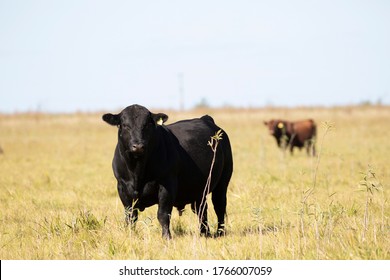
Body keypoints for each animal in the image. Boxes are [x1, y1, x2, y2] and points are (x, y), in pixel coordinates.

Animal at [102, 105, 233, 238]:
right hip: (199, 188)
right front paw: (131, 235)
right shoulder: (122, 187)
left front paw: (166, 237)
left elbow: (163, 214)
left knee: (219, 205)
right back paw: (204, 233)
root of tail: (205, 118)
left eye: (148, 124)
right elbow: (130, 216)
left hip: (223, 181)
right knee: (201, 209)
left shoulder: (167, 185)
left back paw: (220, 232)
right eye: (124, 125)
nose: (138, 146)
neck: (137, 172)